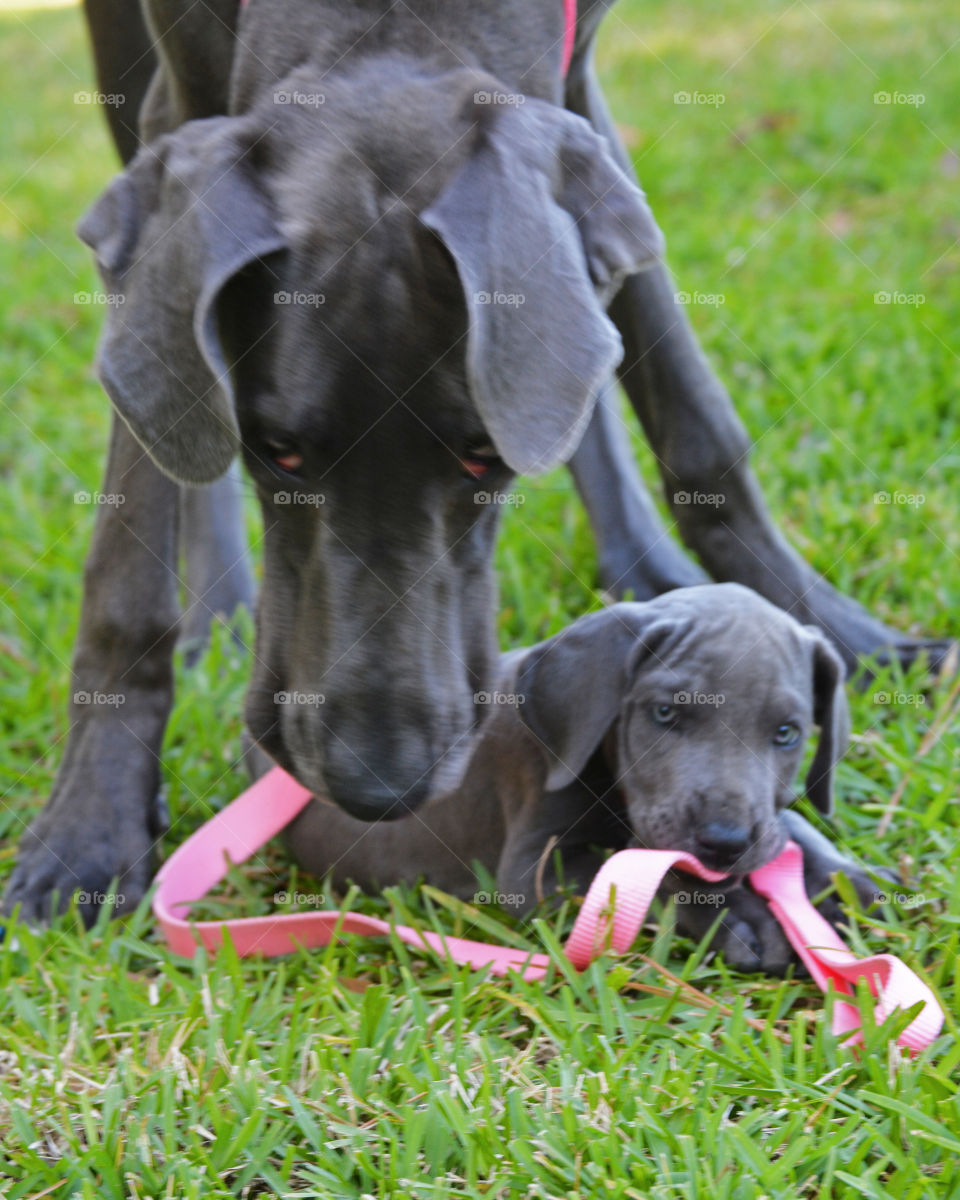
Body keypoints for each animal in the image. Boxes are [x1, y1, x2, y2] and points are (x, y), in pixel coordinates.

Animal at [1, 0, 945, 926]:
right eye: (279, 452)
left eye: (483, 455)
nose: (375, 789)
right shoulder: (181, 95)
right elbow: (135, 528)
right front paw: (91, 826)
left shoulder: (574, 84)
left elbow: (688, 411)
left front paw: (839, 629)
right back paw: (222, 609)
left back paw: (646, 569)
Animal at [280, 588, 873, 974]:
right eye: (665, 713)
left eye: (786, 733)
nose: (724, 843)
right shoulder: (535, 869)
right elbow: (650, 880)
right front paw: (742, 919)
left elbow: (788, 829)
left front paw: (848, 878)